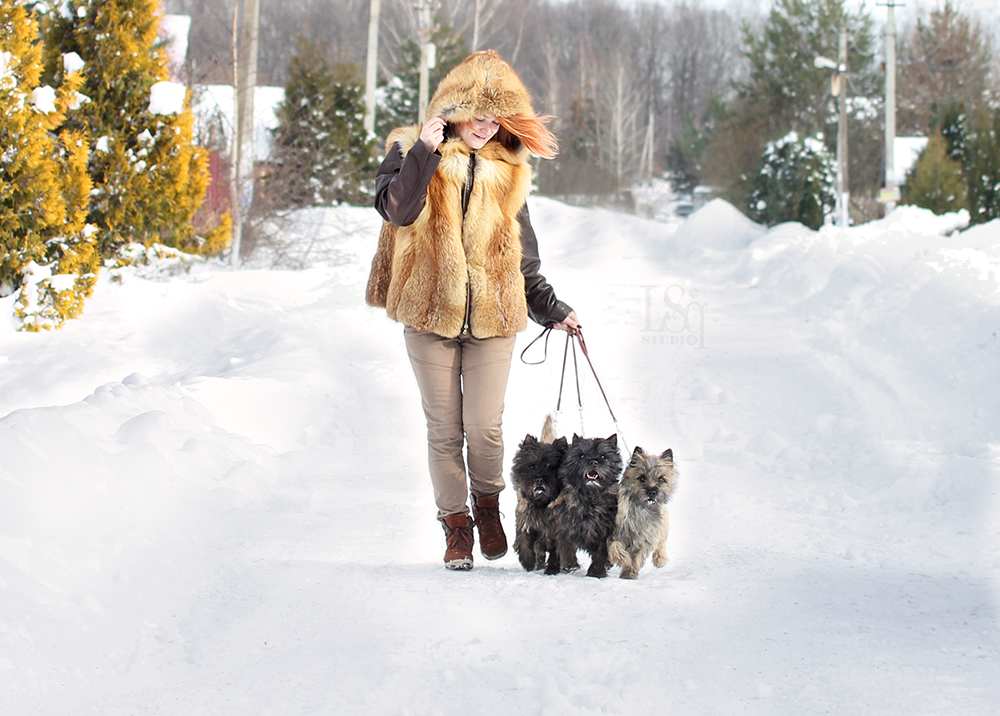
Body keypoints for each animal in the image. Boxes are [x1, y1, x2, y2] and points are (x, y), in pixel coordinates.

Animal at [512, 414, 568, 572]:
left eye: (551, 467)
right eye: (532, 466)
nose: (539, 480)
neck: (541, 504)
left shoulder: (557, 530)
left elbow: (556, 552)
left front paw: (552, 569)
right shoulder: (525, 523)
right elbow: (524, 543)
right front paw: (528, 562)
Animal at [552, 430, 620, 576]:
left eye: (603, 456)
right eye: (581, 455)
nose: (593, 461)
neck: (590, 497)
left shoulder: (605, 531)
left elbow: (602, 552)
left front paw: (596, 572)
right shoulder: (566, 525)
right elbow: (566, 545)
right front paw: (570, 566)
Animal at [604, 448, 676, 576]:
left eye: (661, 479)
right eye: (642, 478)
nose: (652, 492)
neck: (642, 510)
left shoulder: (644, 541)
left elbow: (636, 558)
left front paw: (629, 573)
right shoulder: (614, 534)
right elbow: (616, 547)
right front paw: (624, 560)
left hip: (662, 529)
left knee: (660, 544)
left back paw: (660, 559)